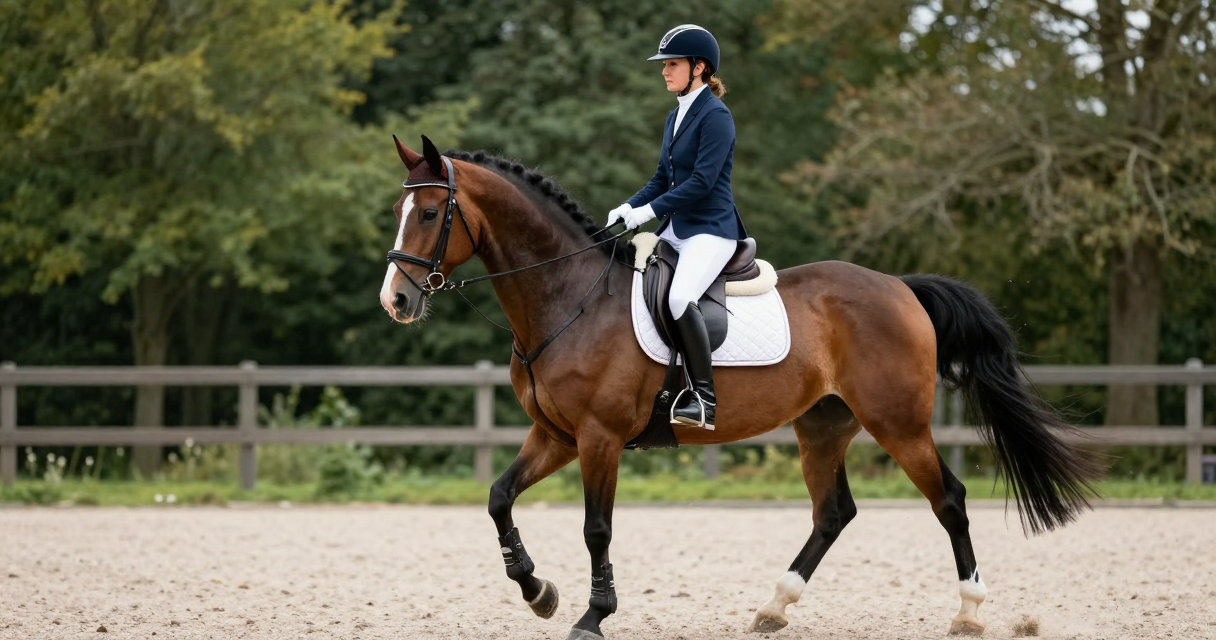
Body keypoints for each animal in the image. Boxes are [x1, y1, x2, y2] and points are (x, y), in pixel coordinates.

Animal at [379, 135, 1100, 639]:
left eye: (432, 212)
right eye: (398, 210)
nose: (396, 300)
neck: (566, 297)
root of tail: (899, 287)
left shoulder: (598, 438)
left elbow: (596, 527)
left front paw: (593, 614)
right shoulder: (554, 434)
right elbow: (499, 498)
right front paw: (539, 593)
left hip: (897, 422)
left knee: (948, 499)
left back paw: (970, 613)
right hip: (823, 424)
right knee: (833, 512)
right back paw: (772, 608)